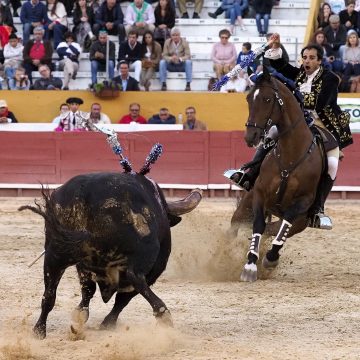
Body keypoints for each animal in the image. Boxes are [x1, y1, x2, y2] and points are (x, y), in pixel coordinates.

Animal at [20, 172, 202, 338]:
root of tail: (85, 192)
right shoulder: (153, 269)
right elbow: (123, 298)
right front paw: (107, 323)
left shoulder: (84, 266)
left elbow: (89, 290)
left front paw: (80, 317)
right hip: (144, 256)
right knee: (134, 278)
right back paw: (164, 316)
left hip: (55, 252)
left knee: (49, 294)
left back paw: (39, 330)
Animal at [238, 69, 324, 282]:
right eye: (248, 98)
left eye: (268, 99)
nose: (250, 137)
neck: (290, 155)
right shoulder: (259, 194)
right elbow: (258, 224)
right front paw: (250, 265)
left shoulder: (303, 201)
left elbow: (284, 226)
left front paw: (270, 258)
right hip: (245, 204)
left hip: (301, 222)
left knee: (276, 229)